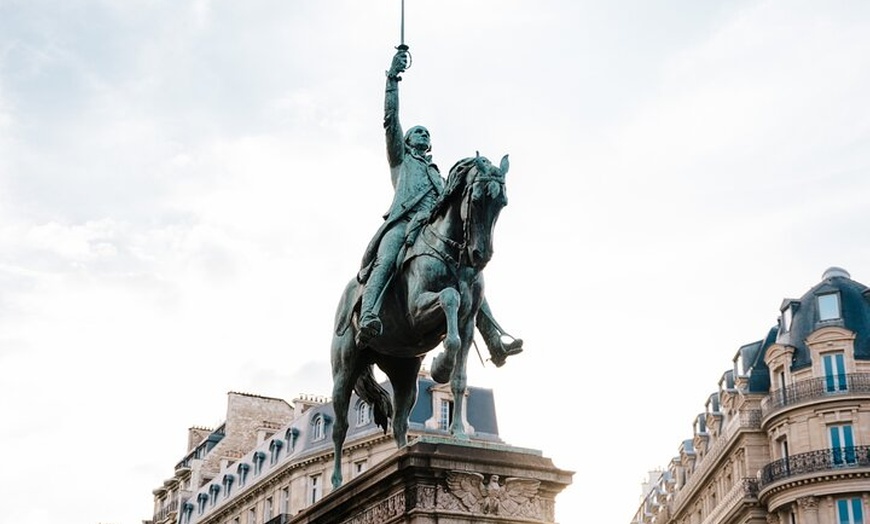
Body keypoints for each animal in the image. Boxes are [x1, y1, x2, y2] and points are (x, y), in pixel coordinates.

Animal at [332, 151, 510, 488]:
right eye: (477, 198)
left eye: (502, 203)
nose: (480, 256)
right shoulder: (417, 311)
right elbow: (450, 298)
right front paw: (440, 365)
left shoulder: (467, 324)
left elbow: (459, 378)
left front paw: (457, 435)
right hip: (345, 369)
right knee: (339, 427)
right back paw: (335, 483)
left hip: (404, 373)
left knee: (400, 423)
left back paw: (402, 453)